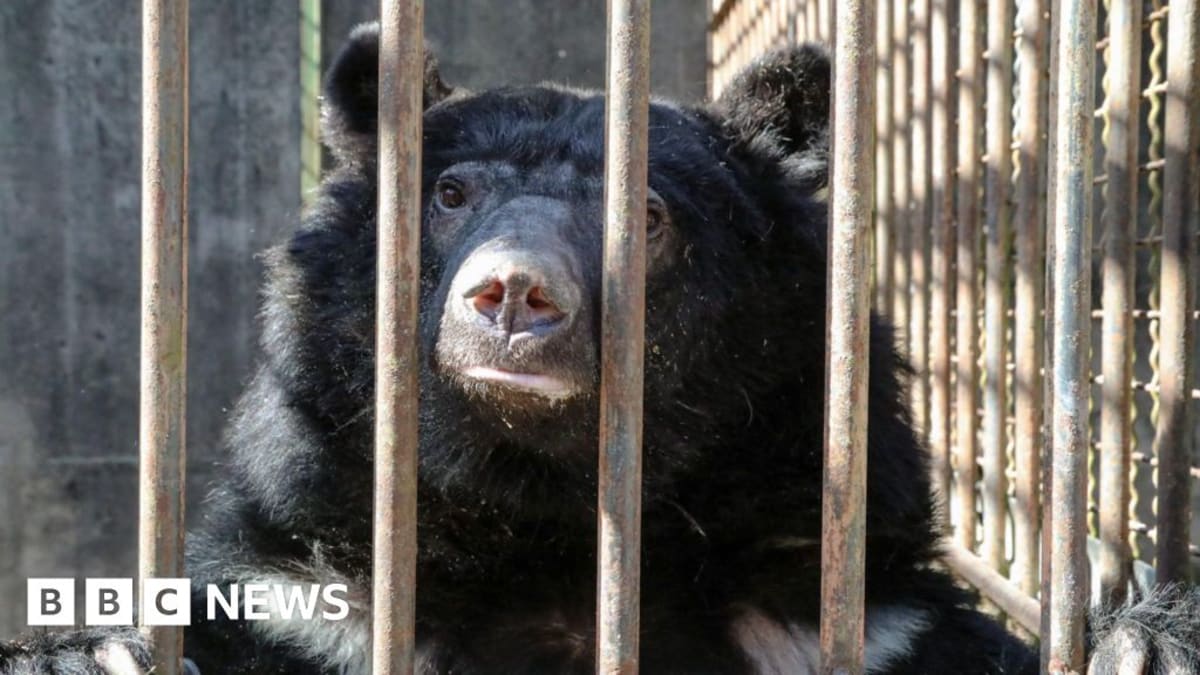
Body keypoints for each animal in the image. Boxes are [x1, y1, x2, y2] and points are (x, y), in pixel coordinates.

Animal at [3, 22, 1200, 675]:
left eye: (652, 216)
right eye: (450, 194)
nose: (511, 294)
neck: (550, 518)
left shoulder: (859, 622)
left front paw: (1146, 636)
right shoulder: (307, 603)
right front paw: (78, 647)